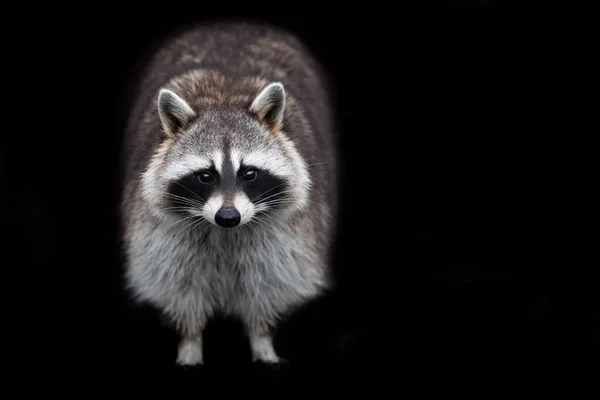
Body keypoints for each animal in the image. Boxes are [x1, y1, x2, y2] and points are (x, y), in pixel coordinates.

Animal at [119, 21, 340, 366]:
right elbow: (177, 283)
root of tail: (234, 25)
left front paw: (262, 340)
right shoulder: (162, 233)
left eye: (249, 173)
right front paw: (190, 343)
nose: (227, 216)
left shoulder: (286, 235)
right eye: (205, 176)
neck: (224, 96)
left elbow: (271, 280)